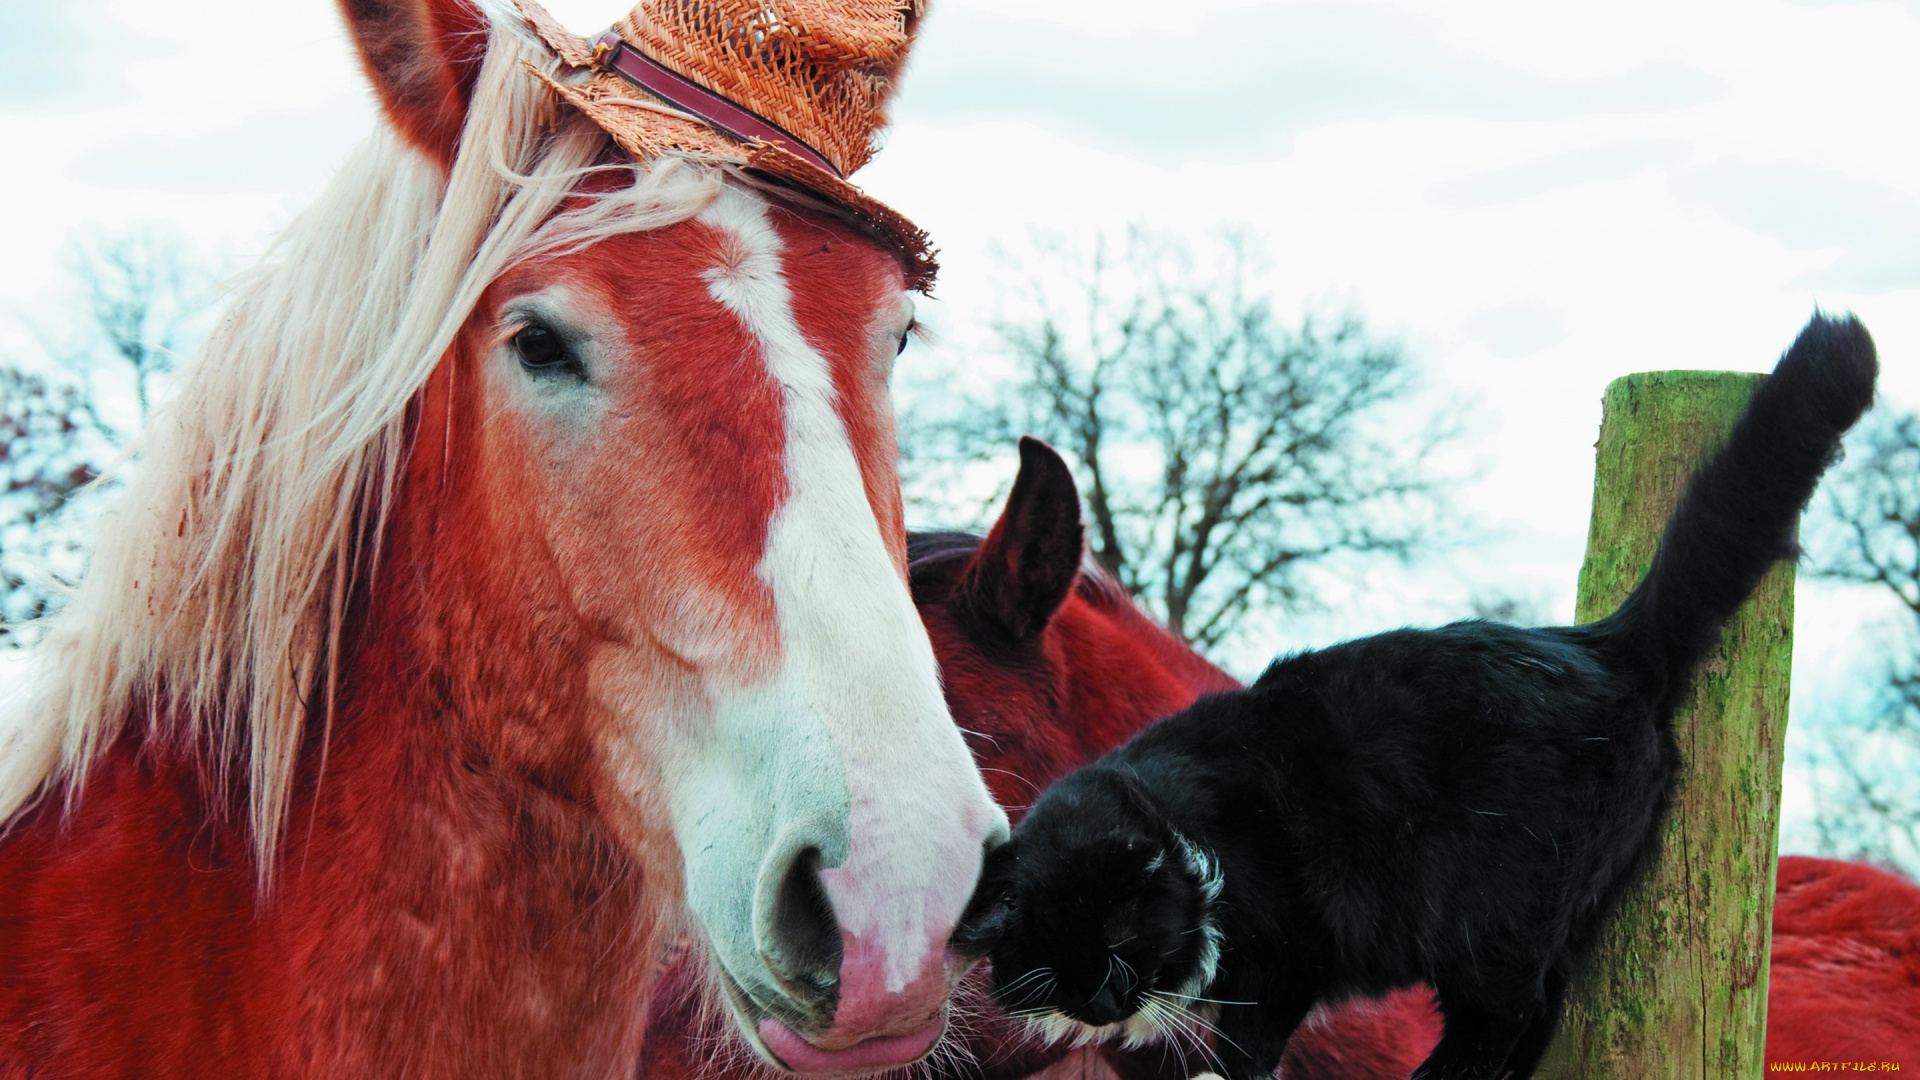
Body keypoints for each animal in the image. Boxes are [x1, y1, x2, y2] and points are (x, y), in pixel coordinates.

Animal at [952, 313, 1881, 1076]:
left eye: (1118, 939)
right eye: (1053, 968)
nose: (1106, 1001)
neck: (1193, 839)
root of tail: (1603, 644)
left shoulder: (1287, 944)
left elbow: (1249, 1042)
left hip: (1491, 909)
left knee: (1513, 1010)